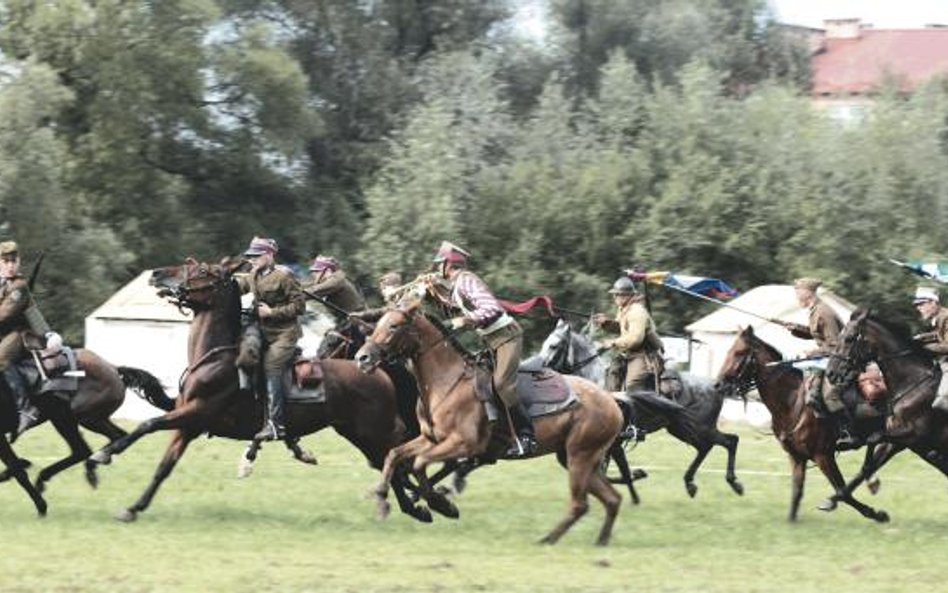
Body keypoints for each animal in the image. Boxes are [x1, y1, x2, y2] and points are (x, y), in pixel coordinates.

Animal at [85, 260, 434, 524]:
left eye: (202, 269)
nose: (156, 274)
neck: (214, 358)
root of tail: (378, 372)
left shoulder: (194, 413)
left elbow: (147, 424)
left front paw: (103, 454)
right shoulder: (188, 425)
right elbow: (163, 467)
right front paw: (133, 508)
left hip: (373, 430)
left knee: (395, 459)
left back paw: (423, 503)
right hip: (356, 433)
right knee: (389, 462)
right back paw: (419, 507)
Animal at [352, 296, 624, 544]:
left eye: (394, 326)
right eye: (377, 324)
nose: (361, 358)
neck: (447, 382)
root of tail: (611, 401)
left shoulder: (463, 444)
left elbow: (420, 464)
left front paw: (442, 505)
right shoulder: (431, 439)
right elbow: (395, 454)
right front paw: (384, 494)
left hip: (580, 456)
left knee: (581, 504)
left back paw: (548, 539)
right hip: (574, 457)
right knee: (612, 499)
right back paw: (600, 541)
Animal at [536, 316, 744, 498]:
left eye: (554, 345)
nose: (538, 371)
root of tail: (716, 386)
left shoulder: (610, 442)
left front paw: (636, 475)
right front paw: (636, 475)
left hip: (700, 427)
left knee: (729, 441)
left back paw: (733, 482)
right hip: (681, 429)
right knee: (707, 447)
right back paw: (691, 483)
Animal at [720, 326, 888, 520]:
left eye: (739, 353)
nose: (718, 384)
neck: (792, 402)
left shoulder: (823, 456)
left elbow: (842, 491)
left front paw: (876, 514)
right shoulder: (797, 457)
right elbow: (797, 492)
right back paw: (872, 479)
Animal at [824, 306, 948, 504]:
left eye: (849, 338)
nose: (831, 373)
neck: (912, 384)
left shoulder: (915, 435)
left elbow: (873, 438)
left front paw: (872, 482)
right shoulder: (898, 440)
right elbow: (872, 453)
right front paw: (835, 498)